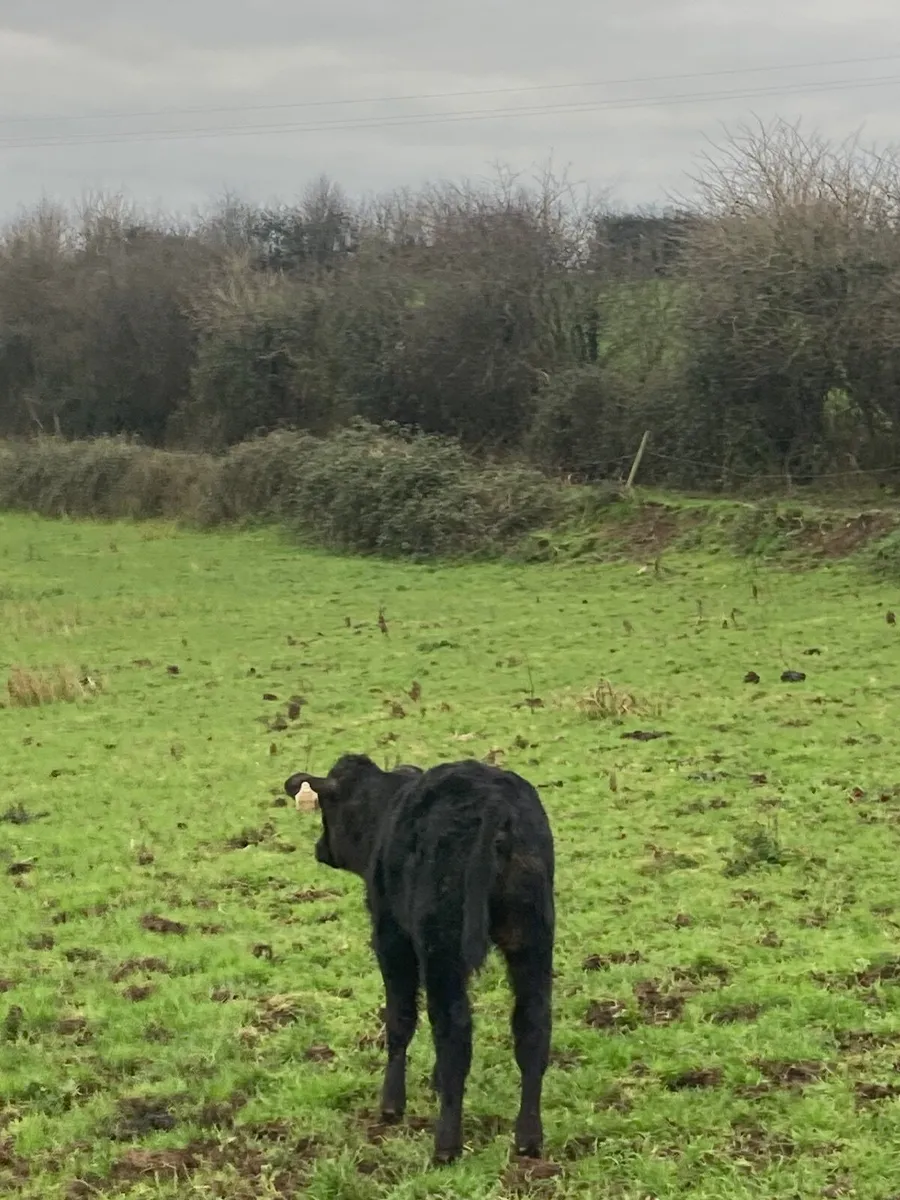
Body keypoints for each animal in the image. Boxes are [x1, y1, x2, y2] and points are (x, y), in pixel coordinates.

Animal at [284, 753, 555, 1165]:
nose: (320, 848)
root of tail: (497, 801)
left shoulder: (391, 937)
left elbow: (401, 1017)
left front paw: (392, 1104)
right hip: (532, 941)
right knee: (532, 1027)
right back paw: (528, 1137)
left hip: (442, 946)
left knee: (454, 1031)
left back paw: (446, 1144)